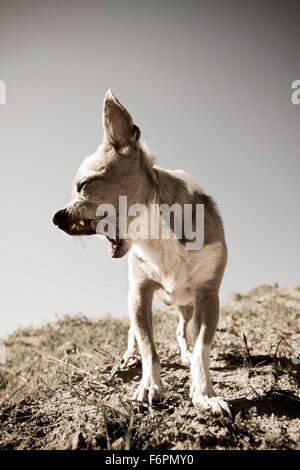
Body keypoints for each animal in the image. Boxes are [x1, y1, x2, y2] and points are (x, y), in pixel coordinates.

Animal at [53, 91, 230, 414]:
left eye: (84, 186)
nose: (56, 217)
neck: (154, 235)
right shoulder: (139, 294)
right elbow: (149, 347)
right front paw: (150, 385)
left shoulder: (209, 296)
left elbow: (202, 348)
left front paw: (204, 394)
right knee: (133, 335)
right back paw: (128, 358)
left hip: (187, 305)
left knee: (182, 330)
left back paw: (184, 353)